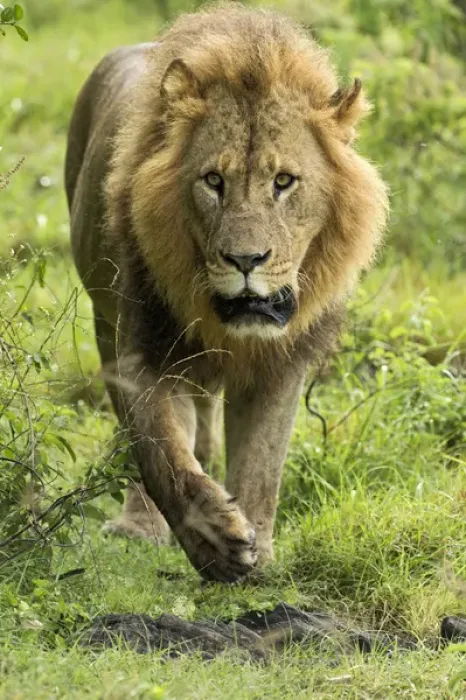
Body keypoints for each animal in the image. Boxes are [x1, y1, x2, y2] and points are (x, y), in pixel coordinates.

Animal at [65, 2, 388, 582]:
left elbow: (262, 462)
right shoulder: (144, 348)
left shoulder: (282, 363)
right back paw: (140, 525)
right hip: (104, 320)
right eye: (213, 181)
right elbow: (159, 451)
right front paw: (216, 543)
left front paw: (258, 554)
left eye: (284, 182)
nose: (245, 261)